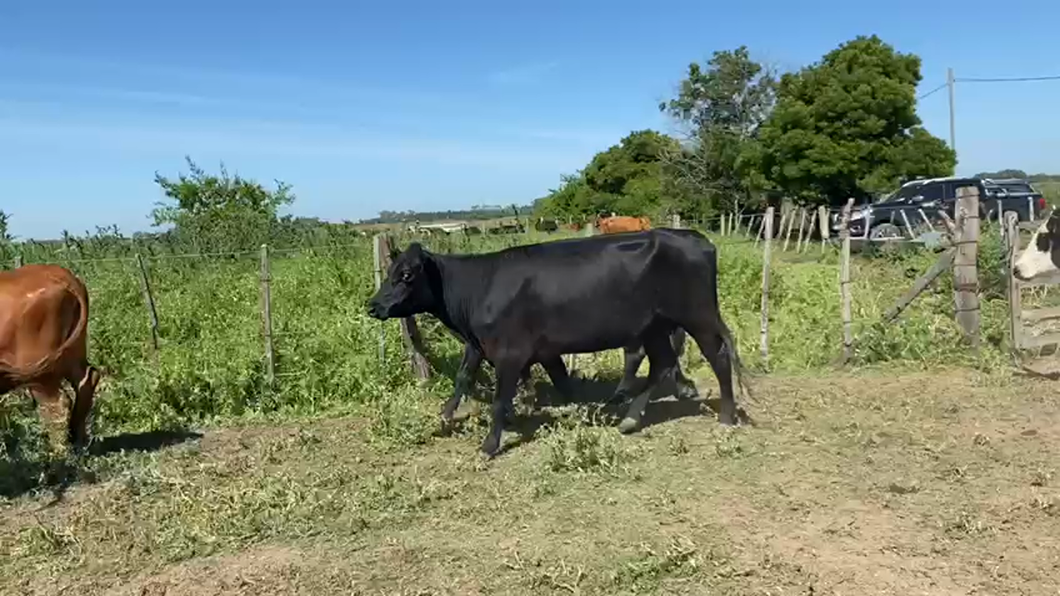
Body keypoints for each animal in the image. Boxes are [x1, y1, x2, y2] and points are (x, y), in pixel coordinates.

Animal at [0, 264, 100, 449]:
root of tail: (59, 275)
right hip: (72, 353)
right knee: (87, 380)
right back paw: (78, 441)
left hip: (38, 371)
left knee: (58, 404)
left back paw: (58, 452)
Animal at [368, 226, 750, 453]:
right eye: (389, 272)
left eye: (406, 275)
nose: (373, 305)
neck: (480, 286)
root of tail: (692, 236)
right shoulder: (482, 345)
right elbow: (465, 377)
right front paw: (446, 417)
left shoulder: (511, 351)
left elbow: (500, 398)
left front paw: (490, 443)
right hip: (655, 327)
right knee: (661, 364)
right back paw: (630, 417)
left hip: (697, 316)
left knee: (717, 357)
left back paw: (727, 415)